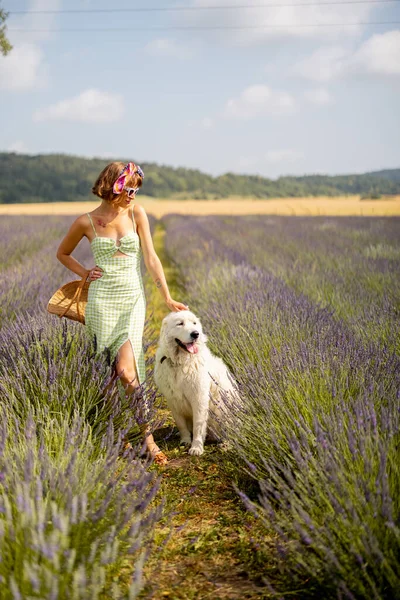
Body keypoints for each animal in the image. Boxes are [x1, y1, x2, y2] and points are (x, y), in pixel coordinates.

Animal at [155, 312, 236, 458]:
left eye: (194, 323)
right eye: (180, 323)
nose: (195, 334)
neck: (180, 362)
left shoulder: (199, 398)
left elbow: (198, 425)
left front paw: (196, 448)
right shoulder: (172, 400)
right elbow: (181, 423)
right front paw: (185, 440)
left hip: (224, 412)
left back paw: (225, 445)